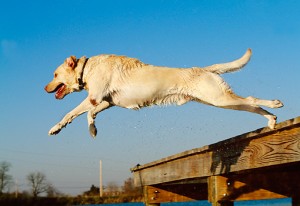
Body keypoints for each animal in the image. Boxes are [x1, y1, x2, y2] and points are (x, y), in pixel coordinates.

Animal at [45, 49, 284, 138]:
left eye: (55, 75)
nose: (44, 88)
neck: (87, 68)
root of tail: (204, 69)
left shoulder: (94, 98)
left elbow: (70, 113)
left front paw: (55, 128)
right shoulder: (106, 101)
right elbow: (89, 114)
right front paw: (93, 129)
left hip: (219, 98)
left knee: (252, 100)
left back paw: (275, 104)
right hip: (219, 101)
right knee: (250, 105)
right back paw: (271, 119)